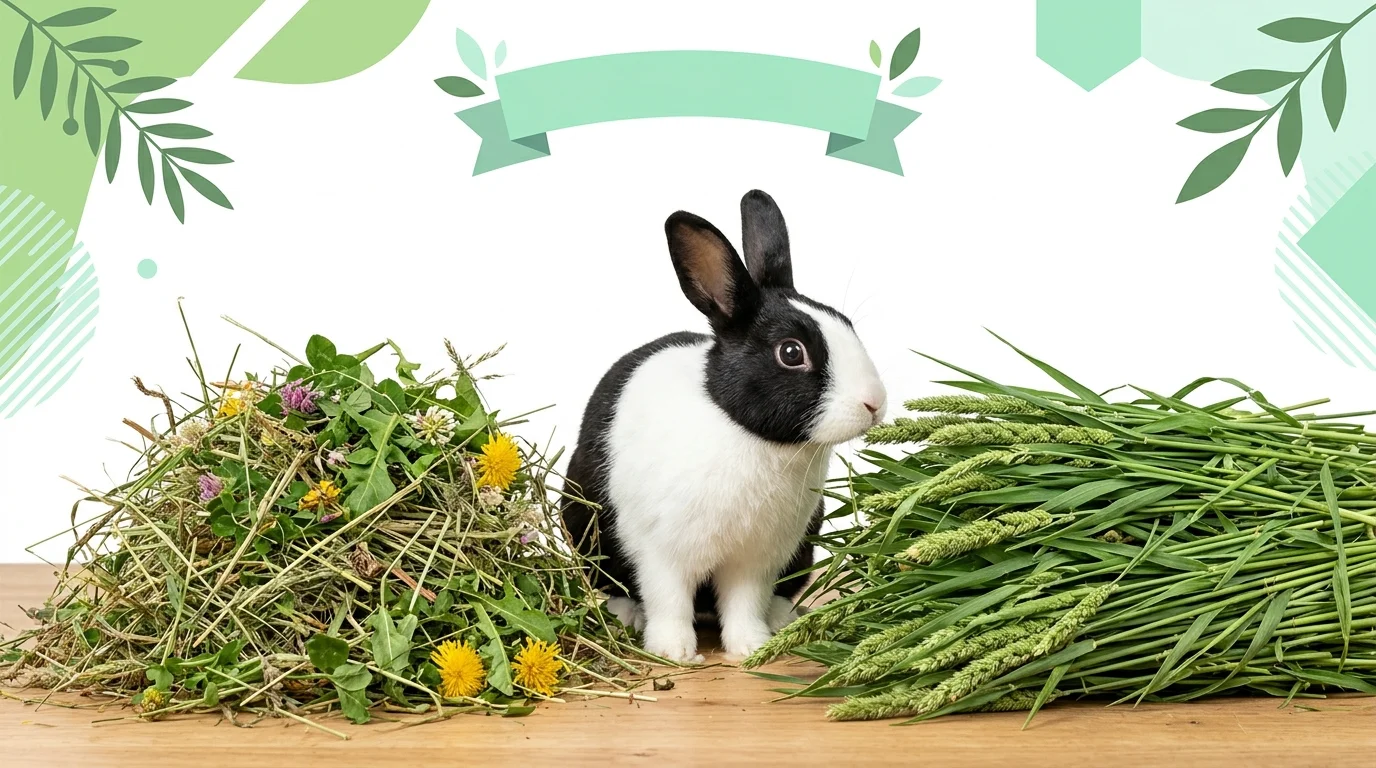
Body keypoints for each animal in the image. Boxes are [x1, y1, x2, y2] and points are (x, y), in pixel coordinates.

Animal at [560, 190, 887, 662]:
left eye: (845, 323)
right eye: (792, 352)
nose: (874, 403)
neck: (746, 434)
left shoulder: (755, 563)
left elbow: (743, 603)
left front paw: (750, 648)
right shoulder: (661, 555)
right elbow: (669, 602)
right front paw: (674, 652)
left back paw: (782, 618)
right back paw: (628, 616)